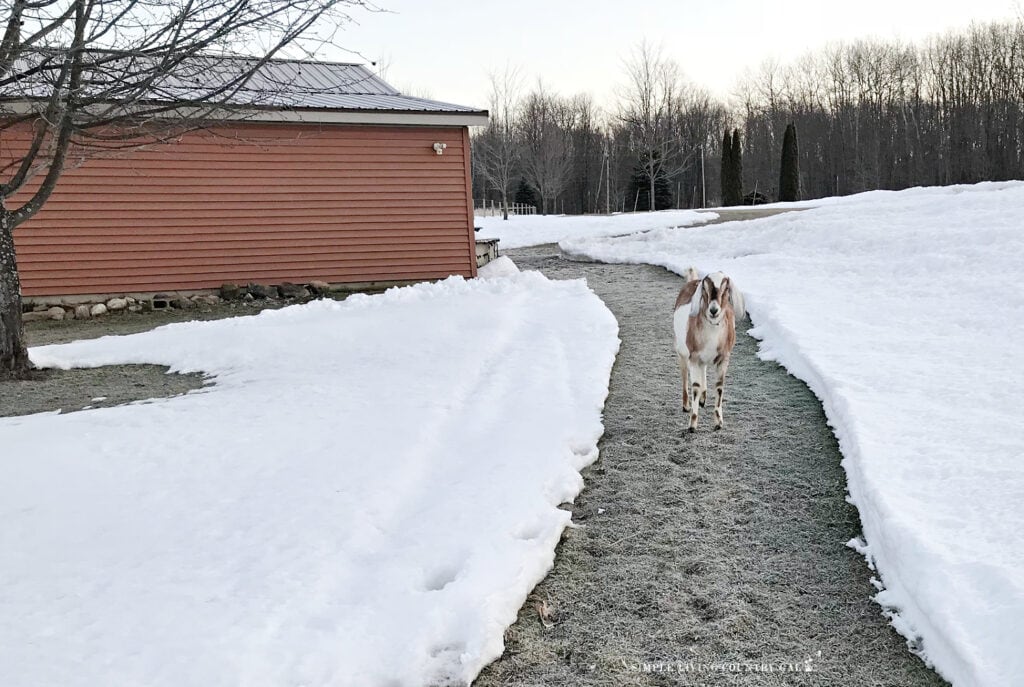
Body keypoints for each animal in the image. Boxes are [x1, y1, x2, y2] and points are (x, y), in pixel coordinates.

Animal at [672, 270, 744, 432]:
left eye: (726, 288)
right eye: (705, 288)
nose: (713, 310)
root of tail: (693, 279)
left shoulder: (724, 358)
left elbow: (719, 386)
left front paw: (718, 422)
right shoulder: (693, 358)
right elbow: (695, 387)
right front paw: (692, 424)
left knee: (703, 370)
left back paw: (703, 399)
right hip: (682, 352)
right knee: (685, 376)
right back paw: (686, 405)